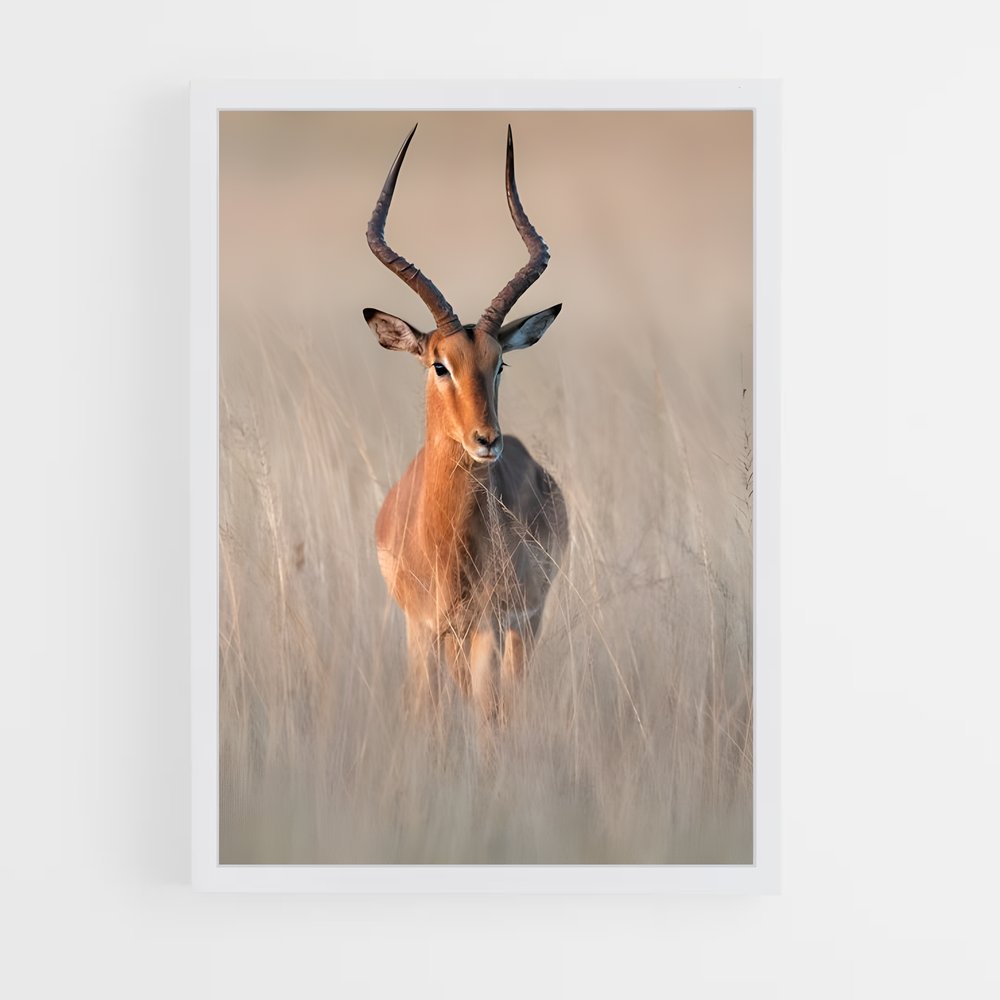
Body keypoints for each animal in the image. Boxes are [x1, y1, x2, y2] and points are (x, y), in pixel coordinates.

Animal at [363, 124, 568, 722]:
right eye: (440, 364)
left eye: (499, 363)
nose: (486, 440)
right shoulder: (421, 632)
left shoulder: (486, 632)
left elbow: (486, 723)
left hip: (524, 626)